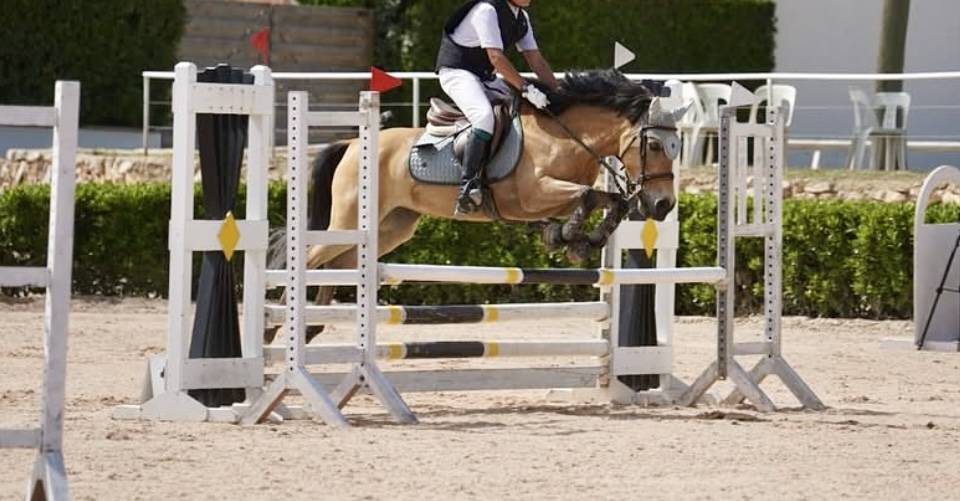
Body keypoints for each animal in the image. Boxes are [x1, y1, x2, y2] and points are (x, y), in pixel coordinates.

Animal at [267, 69, 689, 342]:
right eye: (654, 146)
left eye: (677, 147)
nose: (663, 205)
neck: (566, 135)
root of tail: (353, 144)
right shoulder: (533, 195)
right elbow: (586, 196)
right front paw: (569, 235)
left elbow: (610, 199)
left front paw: (579, 239)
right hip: (349, 221)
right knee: (306, 256)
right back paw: (277, 324)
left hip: (391, 228)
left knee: (337, 264)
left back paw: (311, 324)